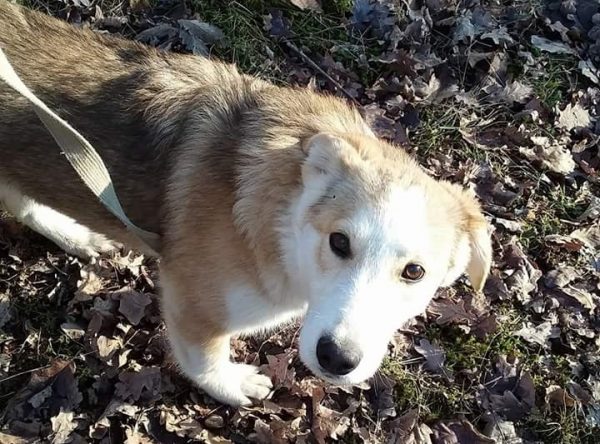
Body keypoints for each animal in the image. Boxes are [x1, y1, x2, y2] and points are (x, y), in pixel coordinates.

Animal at [0, 1, 492, 408]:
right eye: (339, 242)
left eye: (415, 272)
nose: (337, 359)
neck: (281, 225)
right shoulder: (192, 305)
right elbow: (203, 359)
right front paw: (231, 386)